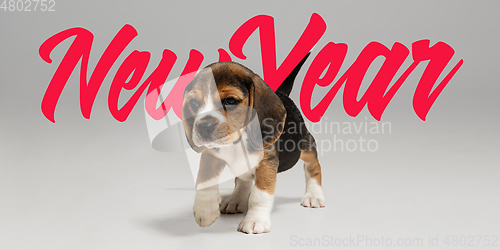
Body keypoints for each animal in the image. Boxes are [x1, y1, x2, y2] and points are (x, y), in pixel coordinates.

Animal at [183, 54, 324, 234]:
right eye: (194, 103)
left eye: (230, 100)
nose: (203, 127)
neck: (236, 143)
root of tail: (282, 94)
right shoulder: (211, 154)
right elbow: (204, 179)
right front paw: (205, 211)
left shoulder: (266, 163)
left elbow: (259, 195)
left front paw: (255, 220)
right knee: (243, 180)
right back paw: (235, 200)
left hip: (304, 146)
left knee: (313, 166)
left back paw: (314, 195)